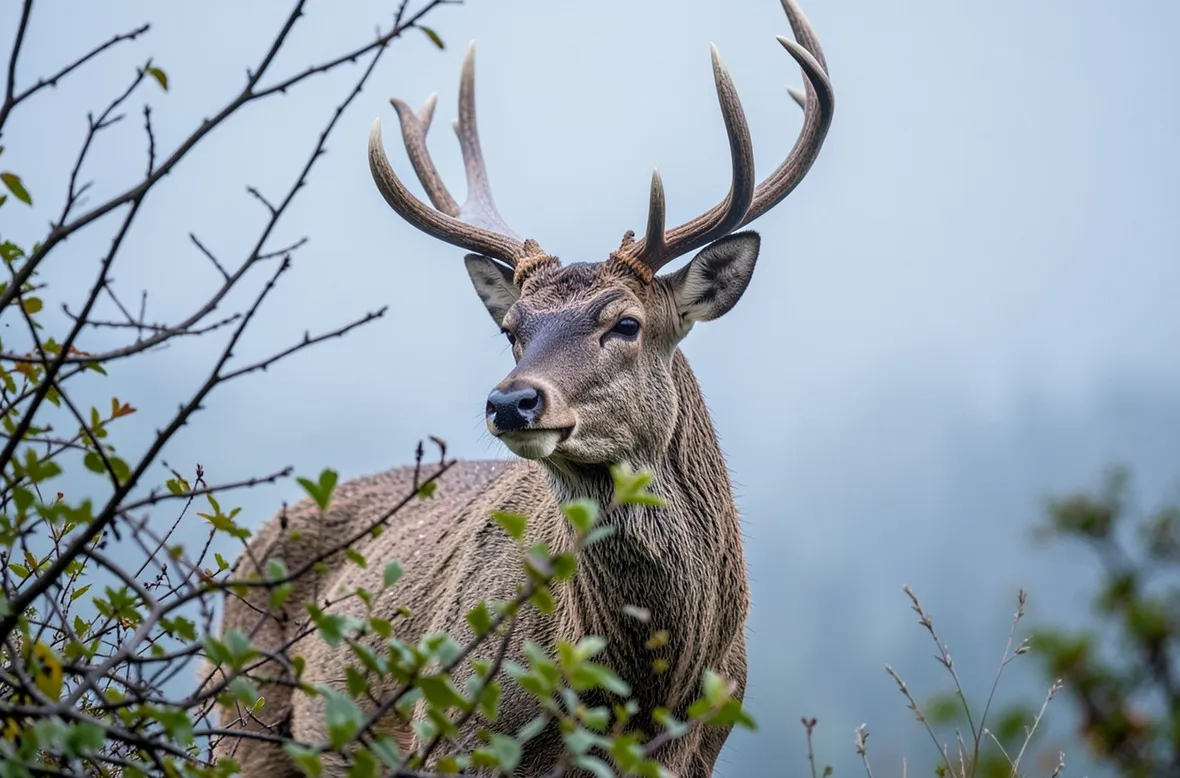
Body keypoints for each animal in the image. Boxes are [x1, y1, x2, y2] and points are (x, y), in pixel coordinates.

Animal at [208, 1, 833, 775]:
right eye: (512, 327)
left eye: (626, 323)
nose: (511, 401)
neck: (637, 695)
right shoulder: (453, 726)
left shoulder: (699, 748)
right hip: (238, 713)